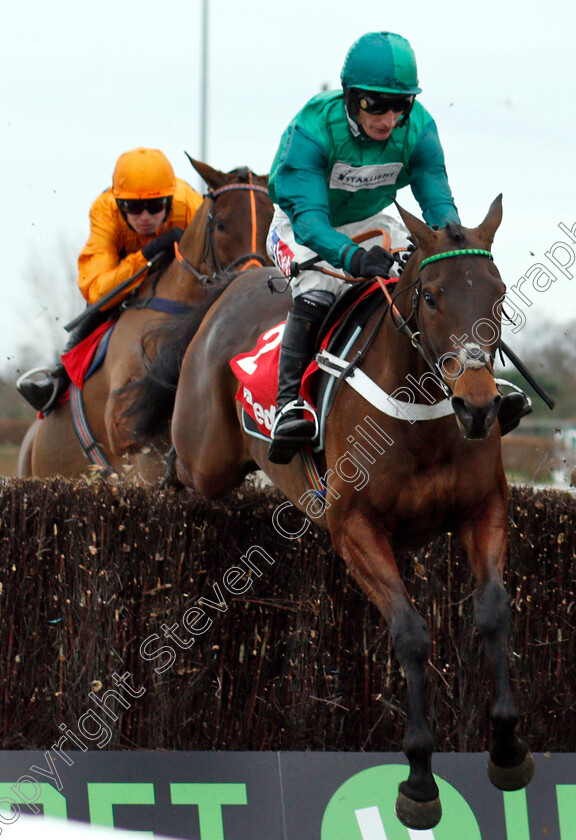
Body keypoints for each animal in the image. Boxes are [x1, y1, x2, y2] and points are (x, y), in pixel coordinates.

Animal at [127, 195, 536, 828]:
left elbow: (493, 613)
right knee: (183, 465)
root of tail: (234, 285)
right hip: (206, 455)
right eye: (432, 296)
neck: (422, 413)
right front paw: (420, 779)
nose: (478, 406)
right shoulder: (354, 529)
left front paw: (508, 746)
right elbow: (411, 633)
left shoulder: (484, 509)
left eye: (497, 292)